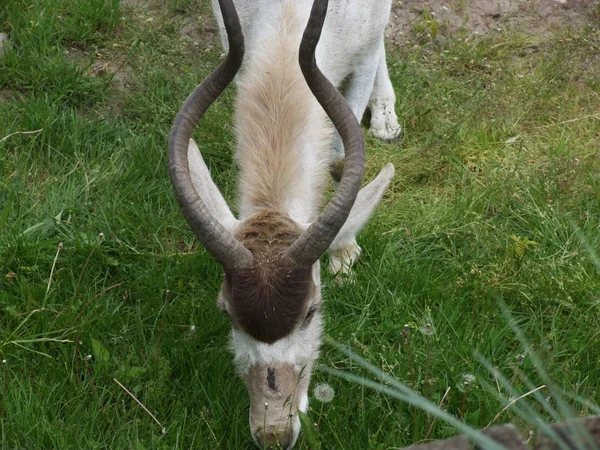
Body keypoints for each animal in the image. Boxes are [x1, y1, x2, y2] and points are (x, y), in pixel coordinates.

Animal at [169, 0, 398, 446]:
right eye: (226, 313)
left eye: (312, 311)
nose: (274, 433)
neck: (290, 16)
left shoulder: (362, 52)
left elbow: (338, 158)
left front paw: (344, 249)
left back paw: (385, 119)